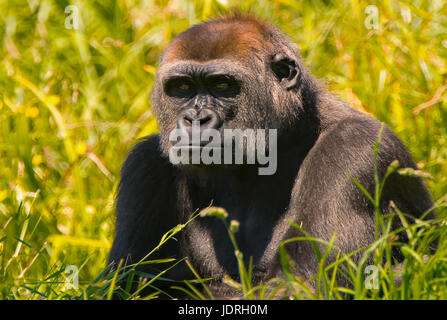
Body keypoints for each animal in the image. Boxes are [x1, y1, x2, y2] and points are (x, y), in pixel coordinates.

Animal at [107, 11, 436, 298]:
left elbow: (306, 284)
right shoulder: (146, 164)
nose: (195, 119)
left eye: (223, 85)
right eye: (182, 87)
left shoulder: (354, 145)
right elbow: (127, 284)